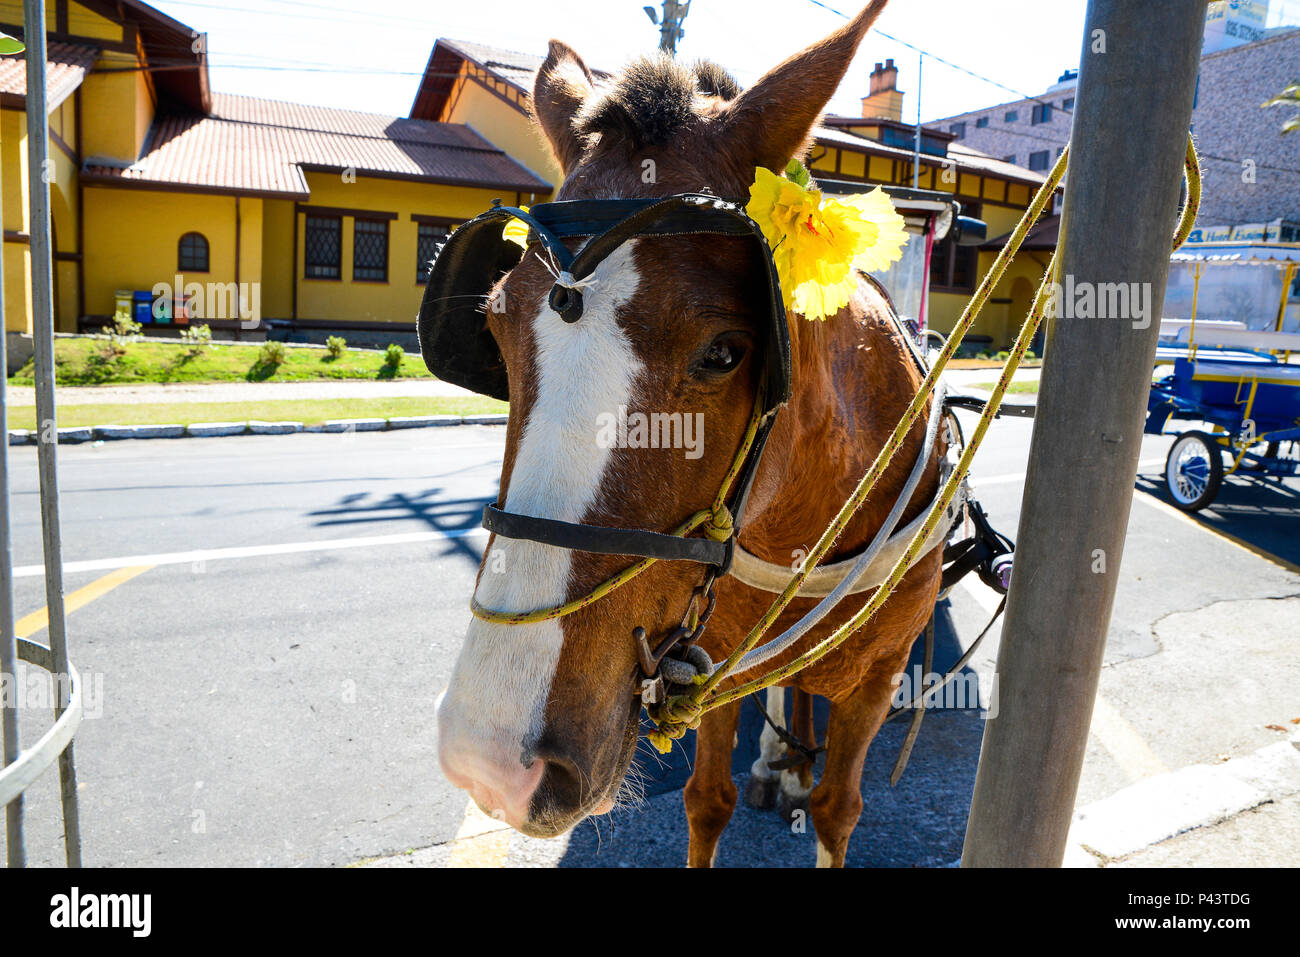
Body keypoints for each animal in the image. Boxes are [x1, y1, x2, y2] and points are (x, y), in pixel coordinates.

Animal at [436, 0, 946, 868]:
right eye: (497, 329)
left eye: (724, 352)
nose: (490, 760)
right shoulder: (711, 665)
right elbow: (708, 801)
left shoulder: (880, 678)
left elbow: (839, 811)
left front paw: (818, 794)